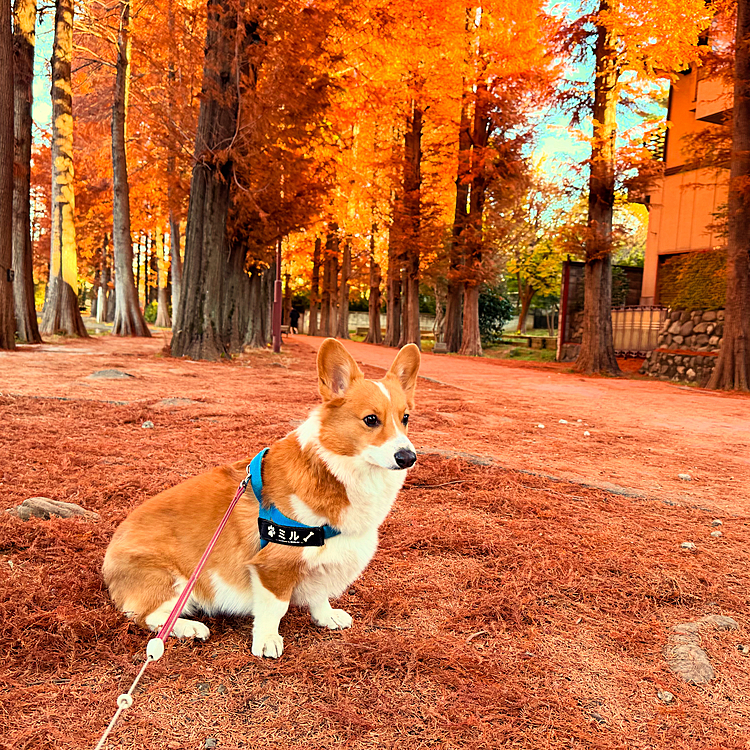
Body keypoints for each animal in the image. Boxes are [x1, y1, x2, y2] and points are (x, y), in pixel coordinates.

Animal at [102, 340, 420, 656]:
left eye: (405, 418)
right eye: (371, 419)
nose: (407, 457)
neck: (335, 469)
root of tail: (108, 560)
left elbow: (319, 595)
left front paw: (326, 617)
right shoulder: (273, 566)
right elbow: (274, 608)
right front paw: (267, 640)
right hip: (176, 580)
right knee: (150, 618)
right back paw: (189, 628)